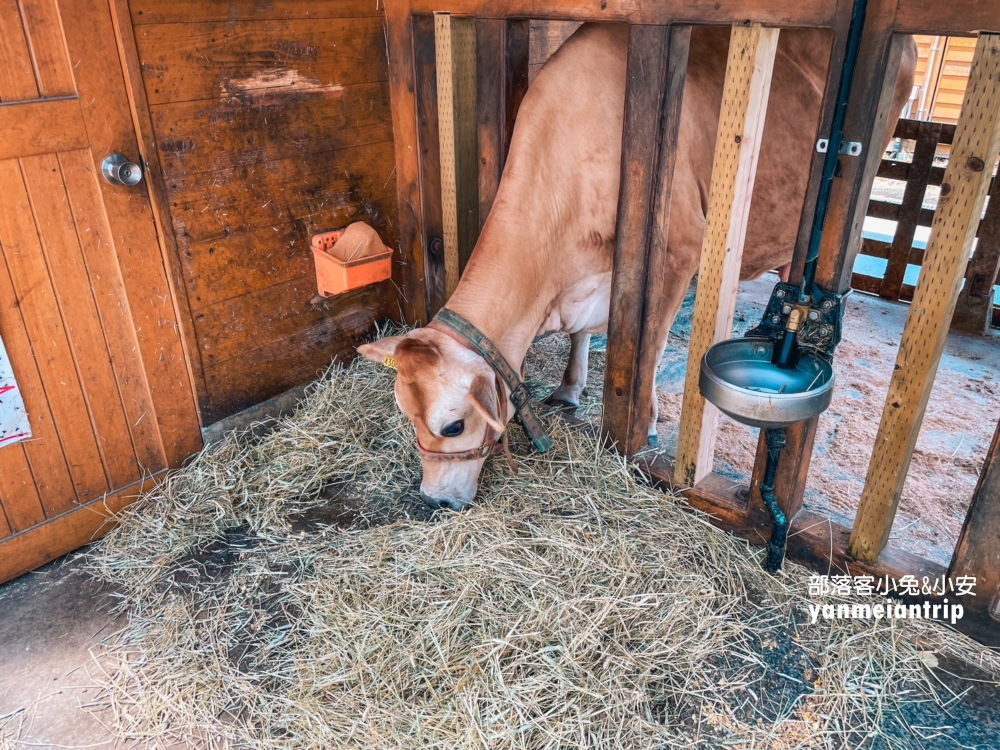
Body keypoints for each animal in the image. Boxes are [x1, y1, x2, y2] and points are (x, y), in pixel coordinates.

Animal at [360, 22, 916, 512]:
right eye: (405, 417)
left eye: (453, 426)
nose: (433, 500)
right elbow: (581, 335)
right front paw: (569, 389)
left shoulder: (676, 254)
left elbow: (648, 346)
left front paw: (643, 420)